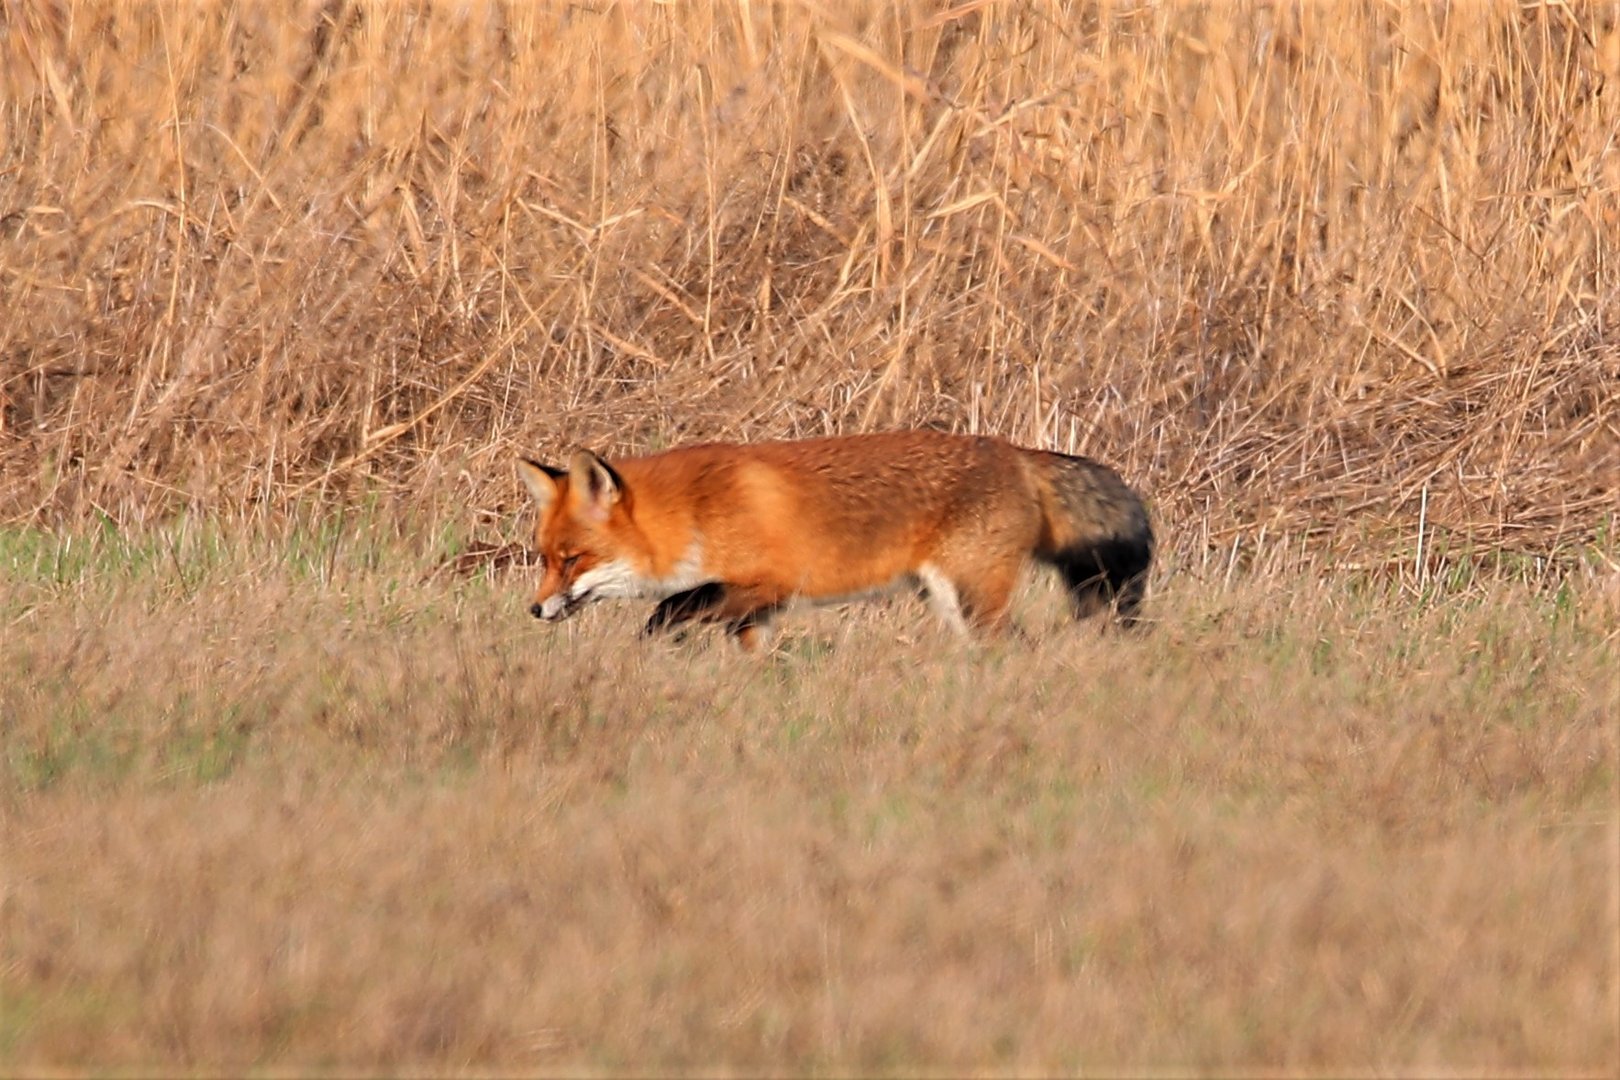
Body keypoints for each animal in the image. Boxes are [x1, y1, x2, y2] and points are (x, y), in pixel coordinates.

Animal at [515, 430, 1153, 650]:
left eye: (573, 560)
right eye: (544, 559)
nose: (535, 610)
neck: (696, 512)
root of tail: (1015, 454)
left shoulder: (766, 583)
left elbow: (670, 607)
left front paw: (649, 645)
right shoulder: (757, 609)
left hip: (972, 600)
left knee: (1016, 647)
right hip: (948, 599)